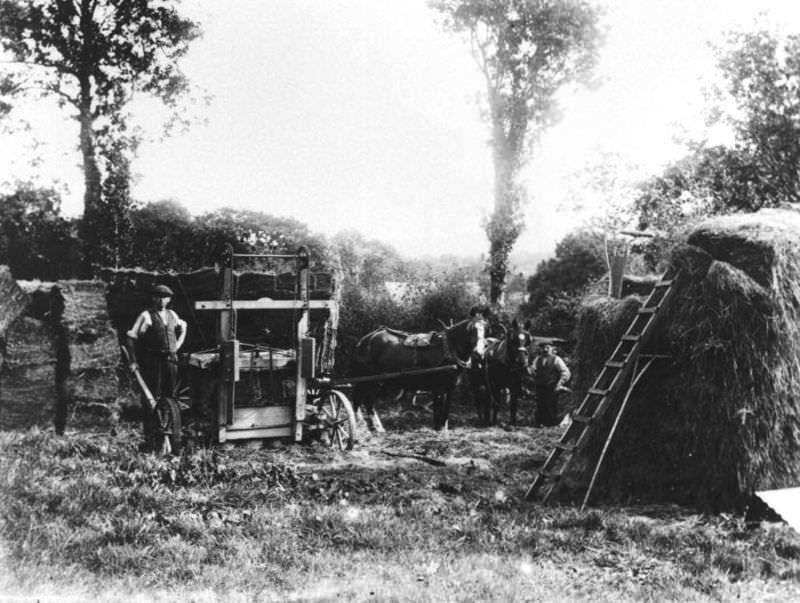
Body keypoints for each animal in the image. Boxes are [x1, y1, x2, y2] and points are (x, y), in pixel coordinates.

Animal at [352, 318, 488, 432]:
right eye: (471, 331)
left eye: (485, 332)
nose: (479, 354)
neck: (447, 348)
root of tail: (366, 339)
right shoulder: (438, 387)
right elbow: (438, 407)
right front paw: (438, 428)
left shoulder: (449, 386)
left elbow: (445, 409)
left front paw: (442, 428)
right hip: (371, 379)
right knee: (362, 400)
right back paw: (365, 425)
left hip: (374, 380)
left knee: (365, 401)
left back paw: (373, 427)